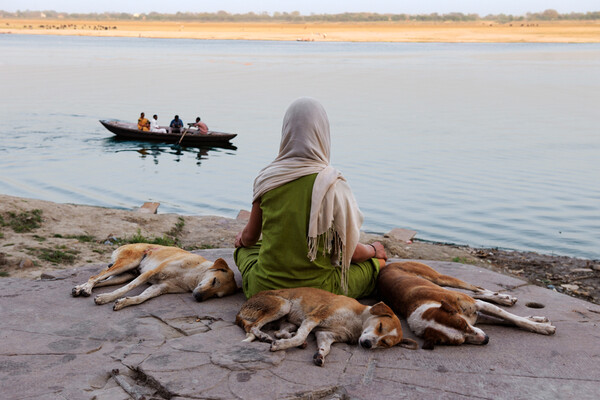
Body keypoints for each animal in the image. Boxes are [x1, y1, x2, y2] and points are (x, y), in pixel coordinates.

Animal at [72, 242, 237, 310]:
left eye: (216, 296)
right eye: (214, 281)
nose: (198, 298)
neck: (193, 275)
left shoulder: (160, 287)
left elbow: (141, 298)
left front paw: (124, 302)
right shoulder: (149, 273)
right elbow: (125, 289)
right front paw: (106, 298)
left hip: (125, 275)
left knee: (100, 280)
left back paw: (80, 288)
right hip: (127, 264)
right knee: (95, 277)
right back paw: (86, 289)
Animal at [234, 288, 418, 366]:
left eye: (385, 343)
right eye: (380, 326)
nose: (367, 344)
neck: (357, 322)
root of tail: (242, 308)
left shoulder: (325, 334)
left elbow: (325, 348)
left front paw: (320, 355)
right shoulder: (314, 317)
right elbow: (301, 335)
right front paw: (280, 346)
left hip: (289, 319)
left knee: (280, 331)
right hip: (283, 305)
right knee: (253, 327)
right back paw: (264, 336)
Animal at [378, 260, 556, 348]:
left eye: (463, 325)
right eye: (459, 341)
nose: (486, 339)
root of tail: (387, 266)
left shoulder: (478, 307)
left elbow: (514, 319)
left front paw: (541, 327)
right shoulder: (478, 319)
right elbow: (508, 321)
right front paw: (538, 320)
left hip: (440, 278)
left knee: (476, 288)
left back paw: (503, 297)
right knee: (476, 292)